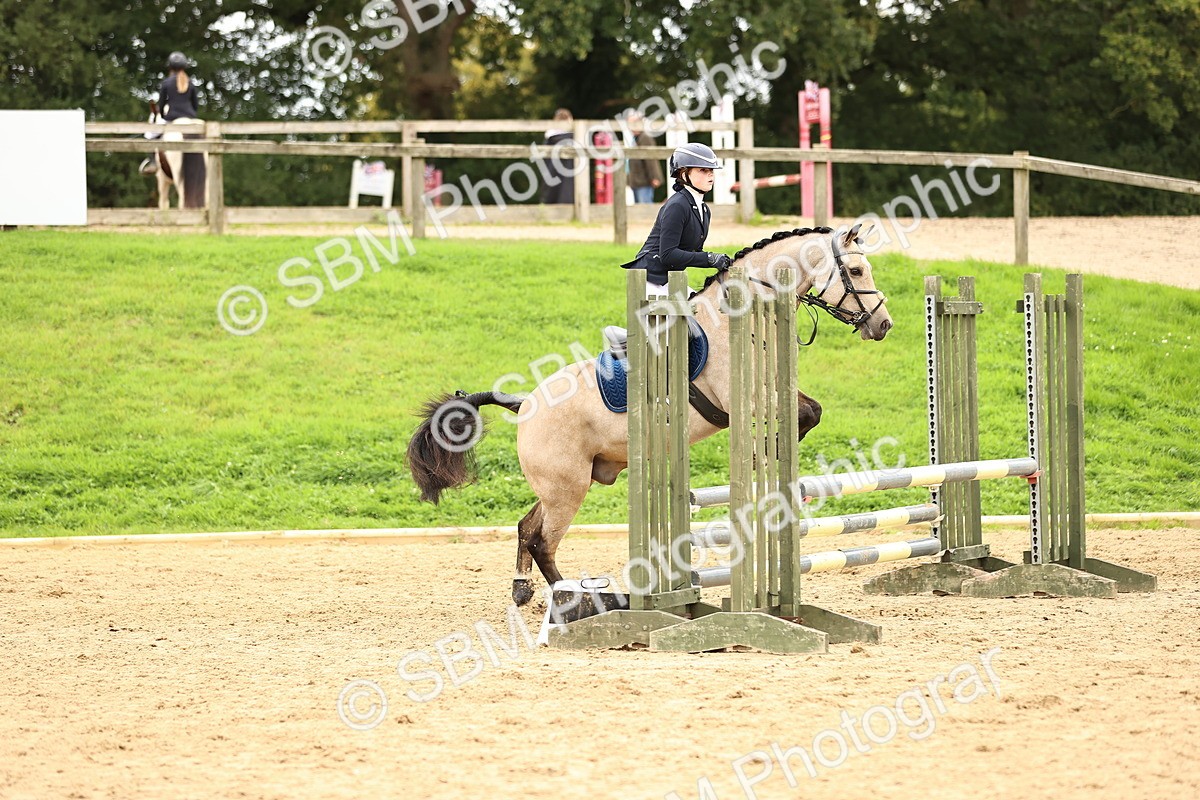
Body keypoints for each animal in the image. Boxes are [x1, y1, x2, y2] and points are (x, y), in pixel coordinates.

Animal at [407, 224, 893, 606]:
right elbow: (805, 414)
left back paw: (523, 589)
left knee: (528, 528)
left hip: (564, 483)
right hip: (567, 488)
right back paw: (571, 600)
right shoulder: (744, 398)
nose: (883, 325)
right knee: (544, 540)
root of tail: (524, 403)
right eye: (855, 272)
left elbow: (813, 409)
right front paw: (764, 455)